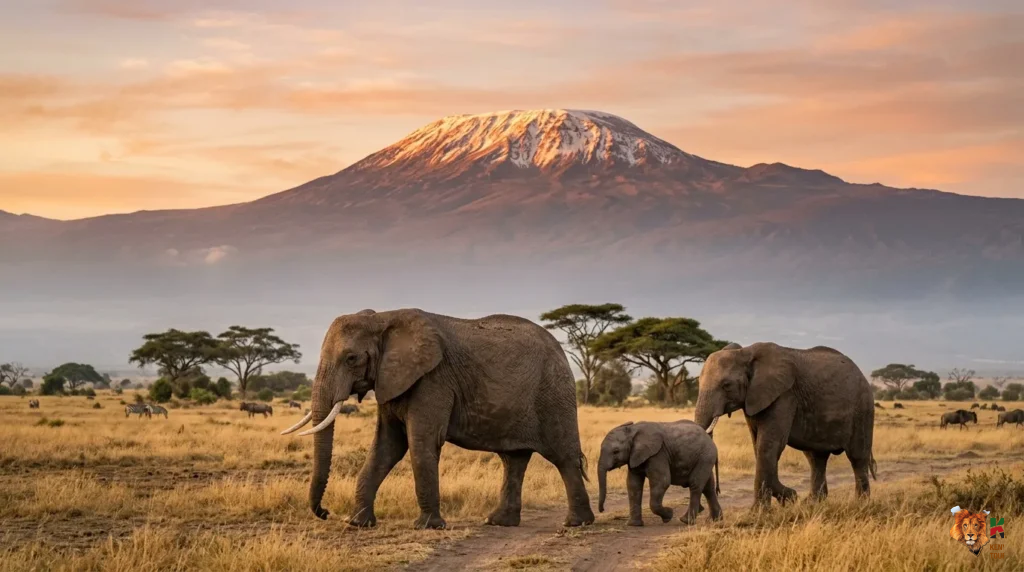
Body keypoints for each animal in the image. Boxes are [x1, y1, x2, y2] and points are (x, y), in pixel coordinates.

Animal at [280, 308, 594, 530]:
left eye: (351, 358)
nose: (325, 513)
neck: (382, 319)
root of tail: (560, 349)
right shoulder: (391, 379)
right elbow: (386, 447)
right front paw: (357, 523)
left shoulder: (434, 379)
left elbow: (421, 442)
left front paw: (427, 527)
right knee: (513, 460)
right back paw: (498, 522)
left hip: (554, 393)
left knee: (563, 456)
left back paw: (576, 523)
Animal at [694, 342, 877, 507]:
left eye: (726, 386)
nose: (718, 490)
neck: (745, 352)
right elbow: (758, 445)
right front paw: (790, 498)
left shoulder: (784, 396)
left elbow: (769, 445)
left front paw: (759, 513)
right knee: (816, 459)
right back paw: (813, 503)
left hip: (863, 408)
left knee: (857, 456)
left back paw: (861, 504)